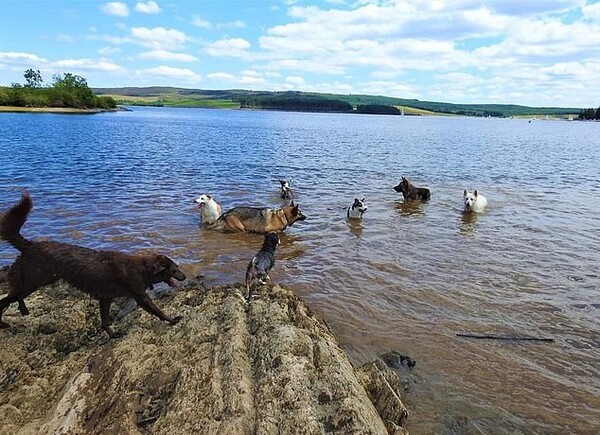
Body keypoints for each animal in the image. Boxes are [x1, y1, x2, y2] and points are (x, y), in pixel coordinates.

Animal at [0, 194, 186, 340]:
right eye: (174, 269)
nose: (184, 277)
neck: (143, 268)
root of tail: (30, 245)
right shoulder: (141, 297)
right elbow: (157, 310)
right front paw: (172, 320)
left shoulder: (106, 298)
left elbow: (105, 321)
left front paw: (112, 335)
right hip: (35, 280)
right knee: (7, 299)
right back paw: (7, 320)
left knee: (13, 296)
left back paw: (20, 312)